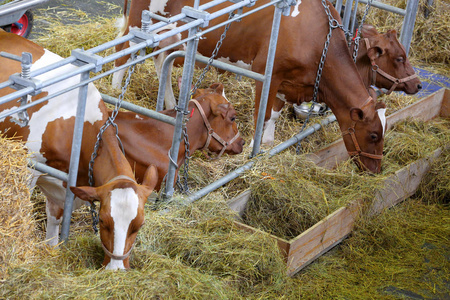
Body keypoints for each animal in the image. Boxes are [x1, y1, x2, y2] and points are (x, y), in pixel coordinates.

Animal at [0, 29, 158, 270]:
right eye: (102, 220)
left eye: (139, 225)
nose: (116, 270)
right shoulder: (28, 168)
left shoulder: (64, 185)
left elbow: (55, 218)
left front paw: (51, 249)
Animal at [113, 0, 390, 173]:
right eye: (373, 135)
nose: (376, 170)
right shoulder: (267, 71)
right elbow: (263, 113)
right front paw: (254, 151)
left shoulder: (287, 80)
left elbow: (275, 113)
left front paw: (268, 144)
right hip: (140, 23)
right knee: (122, 51)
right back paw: (115, 91)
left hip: (171, 33)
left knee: (162, 61)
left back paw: (170, 103)